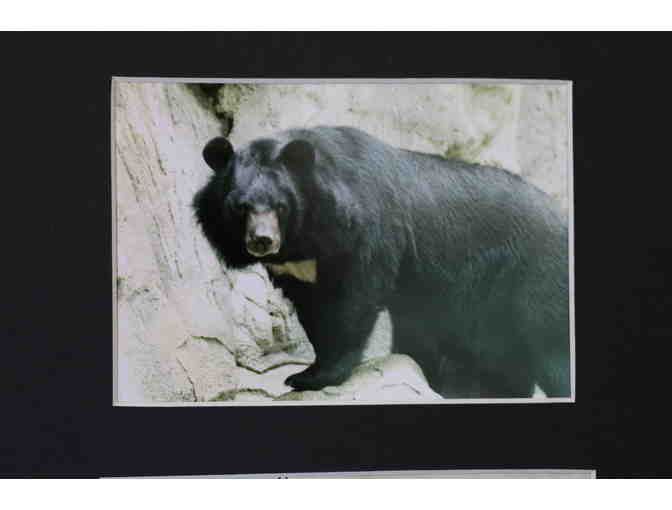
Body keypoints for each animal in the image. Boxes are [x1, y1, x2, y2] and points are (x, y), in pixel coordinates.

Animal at [193, 126, 570, 398]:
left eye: (280, 206)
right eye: (240, 207)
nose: (262, 241)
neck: (305, 239)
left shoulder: (364, 232)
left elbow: (354, 302)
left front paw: (317, 376)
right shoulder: (299, 272)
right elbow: (315, 314)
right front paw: (307, 372)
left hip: (537, 274)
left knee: (549, 344)